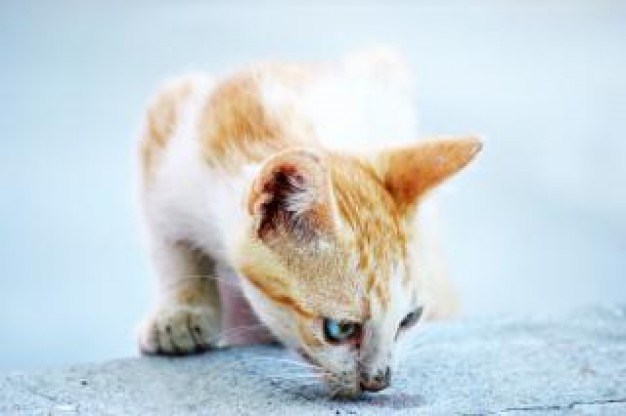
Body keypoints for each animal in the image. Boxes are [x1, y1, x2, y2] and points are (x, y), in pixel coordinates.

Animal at [135, 48, 478, 396]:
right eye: (340, 329)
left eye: (409, 318)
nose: (379, 381)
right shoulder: (170, 126)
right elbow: (171, 244)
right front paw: (180, 311)